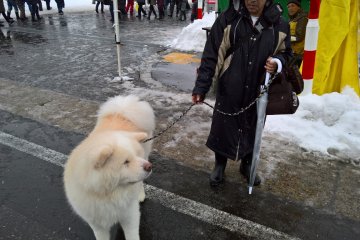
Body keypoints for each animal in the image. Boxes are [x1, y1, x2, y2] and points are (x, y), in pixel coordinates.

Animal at [63, 95, 155, 240]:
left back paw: (140, 194)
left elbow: (132, 234)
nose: (149, 167)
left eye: (136, 155)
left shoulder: (130, 214)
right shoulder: (96, 222)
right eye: (126, 162)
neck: (108, 194)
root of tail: (121, 111)